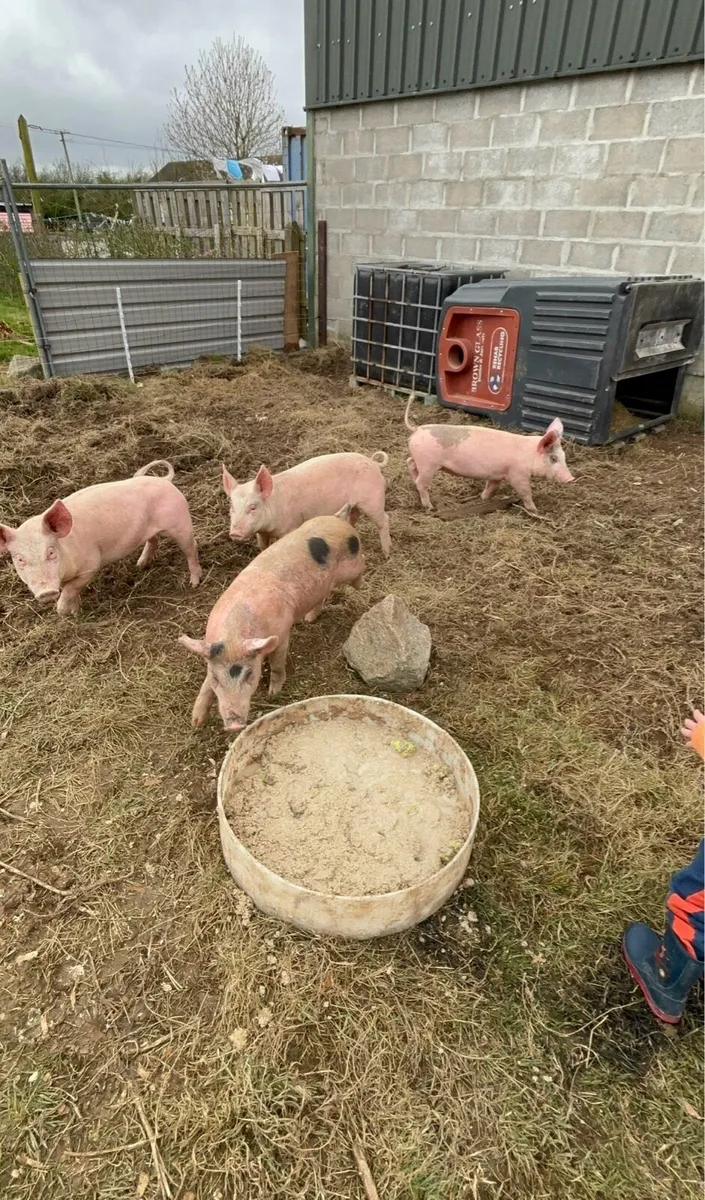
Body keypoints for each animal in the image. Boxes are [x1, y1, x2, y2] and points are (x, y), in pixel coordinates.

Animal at [0, 460, 201, 615]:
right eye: (19, 559)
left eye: (51, 552)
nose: (46, 592)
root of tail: (165, 481)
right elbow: (71, 592)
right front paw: (76, 611)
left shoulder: (91, 565)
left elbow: (70, 590)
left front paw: (64, 612)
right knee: (153, 540)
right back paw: (141, 565)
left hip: (180, 524)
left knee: (191, 548)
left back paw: (194, 583)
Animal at [179, 505, 365, 733]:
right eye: (216, 678)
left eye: (250, 674)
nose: (233, 725)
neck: (234, 635)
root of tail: (340, 520)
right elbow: (205, 687)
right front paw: (196, 722)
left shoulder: (282, 635)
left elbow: (277, 664)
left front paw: (273, 693)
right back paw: (309, 619)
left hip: (353, 565)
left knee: (362, 564)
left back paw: (359, 588)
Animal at [221, 451, 392, 557]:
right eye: (231, 507)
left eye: (253, 507)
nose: (234, 533)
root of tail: (373, 462)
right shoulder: (261, 533)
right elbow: (263, 546)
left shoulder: (290, 526)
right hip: (356, 505)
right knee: (354, 516)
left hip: (373, 500)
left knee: (384, 520)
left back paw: (387, 552)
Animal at [404, 398, 575, 514]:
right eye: (553, 458)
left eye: (564, 456)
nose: (571, 479)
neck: (528, 454)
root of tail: (417, 429)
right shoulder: (517, 474)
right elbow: (525, 492)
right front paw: (535, 510)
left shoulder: (497, 475)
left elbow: (491, 487)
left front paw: (483, 499)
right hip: (428, 464)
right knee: (421, 482)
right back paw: (430, 507)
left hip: (420, 460)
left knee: (410, 462)